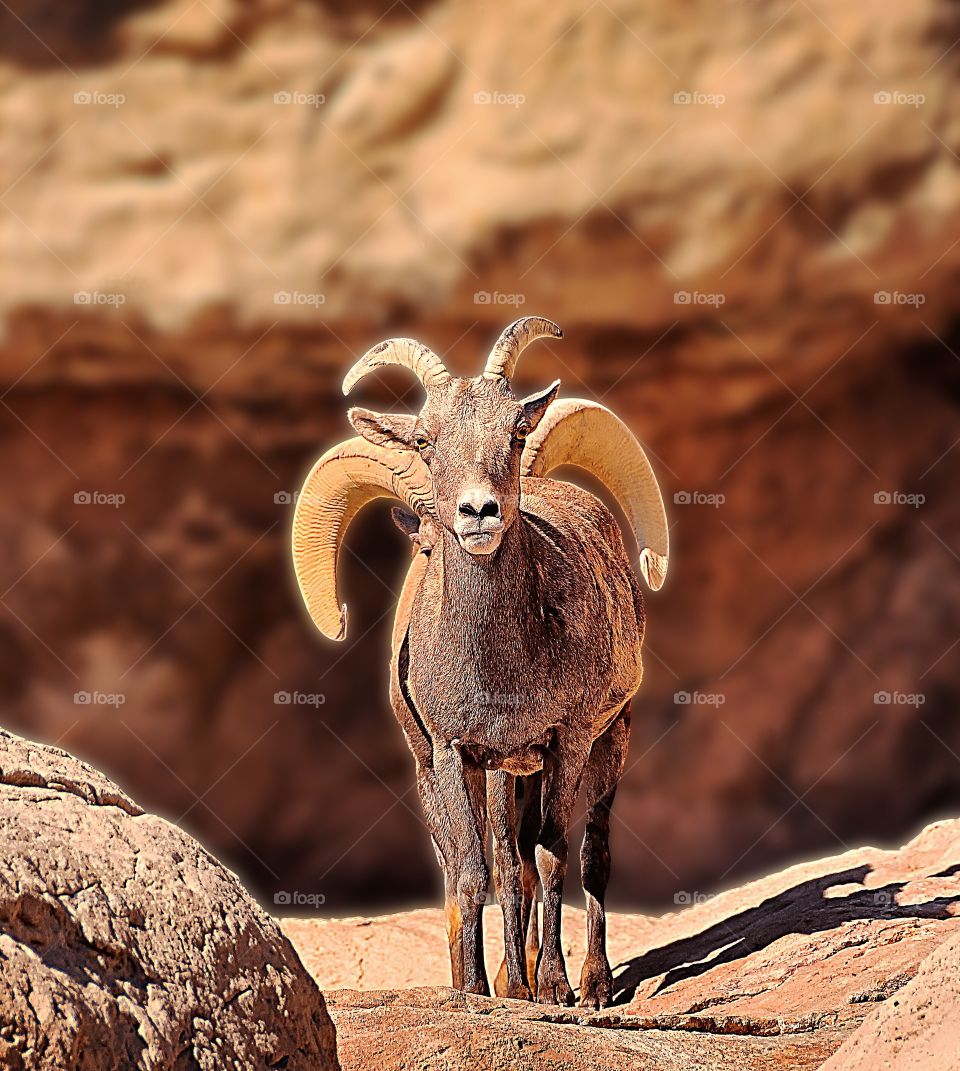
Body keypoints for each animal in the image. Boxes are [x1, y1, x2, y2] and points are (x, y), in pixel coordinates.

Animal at [291, 317, 668, 1002]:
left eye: (515, 430)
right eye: (425, 438)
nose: (478, 512)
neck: (498, 673)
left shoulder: (567, 741)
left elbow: (550, 855)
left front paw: (553, 989)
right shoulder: (455, 753)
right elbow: (475, 871)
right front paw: (476, 991)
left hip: (609, 739)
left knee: (592, 854)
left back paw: (594, 986)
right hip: (504, 773)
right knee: (504, 865)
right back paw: (512, 980)